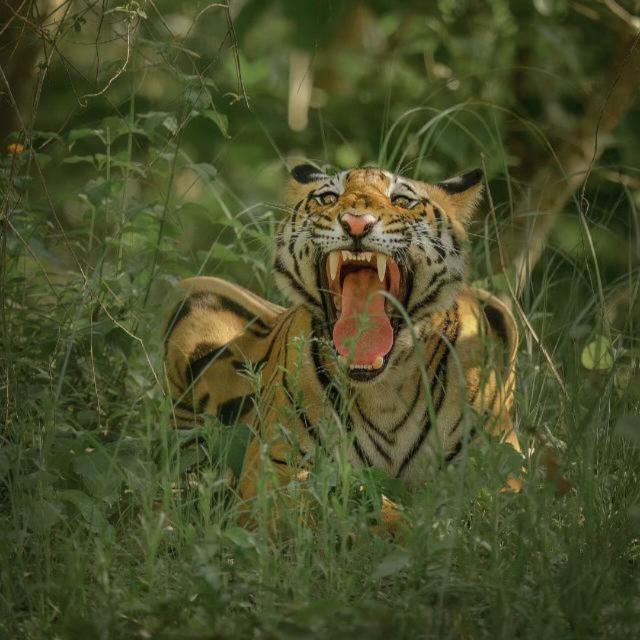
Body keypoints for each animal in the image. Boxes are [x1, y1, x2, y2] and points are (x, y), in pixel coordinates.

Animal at [164, 163, 521, 519]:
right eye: (328, 198)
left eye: (402, 201)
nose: (356, 223)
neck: (384, 391)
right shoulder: (277, 464)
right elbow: (354, 500)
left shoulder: (501, 466)